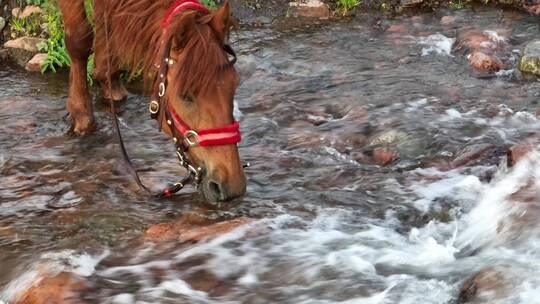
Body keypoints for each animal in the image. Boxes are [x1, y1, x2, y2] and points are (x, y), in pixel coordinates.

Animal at [58, 1, 245, 203]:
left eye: (234, 84)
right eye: (185, 95)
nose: (233, 186)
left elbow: (106, 24)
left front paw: (109, 83)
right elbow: (79, 38)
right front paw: (81, 115)